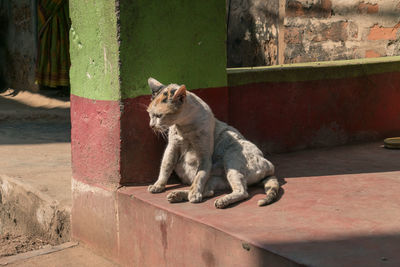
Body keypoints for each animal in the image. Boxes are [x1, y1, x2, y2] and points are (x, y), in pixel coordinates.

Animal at [145, 77, 280, 209]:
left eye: (159, 116)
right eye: (150, 114)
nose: (151, 126)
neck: (184, 127)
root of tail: (270, 166)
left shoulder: (204, 154)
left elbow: (199, 175)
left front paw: (194, 193)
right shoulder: (172, 148)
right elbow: (166, 167)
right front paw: (158, 185)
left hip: (232, 156)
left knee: (242, 192)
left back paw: (219, 200)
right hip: (217, 178)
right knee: (209, 191)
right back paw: (178, 195)